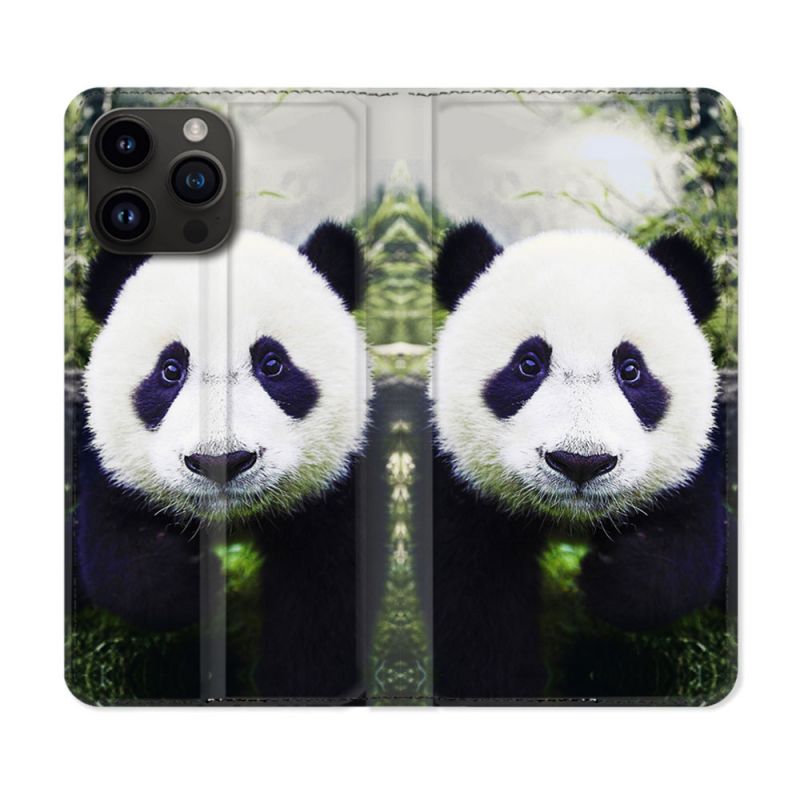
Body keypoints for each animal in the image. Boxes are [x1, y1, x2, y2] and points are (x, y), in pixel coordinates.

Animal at [75, 222, 370, 701]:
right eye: (170, 369)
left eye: (273, 364)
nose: (222, 461)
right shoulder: (112, 470)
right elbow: (120, 558)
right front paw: (195, 580)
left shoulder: (337, 491)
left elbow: (325, 603)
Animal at [430, 223, 726, 701]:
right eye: (528, 364)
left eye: (631, 369)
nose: (580, 463)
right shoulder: (462, 487)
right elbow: (473, 603)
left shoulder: (691, 466)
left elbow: (685, 552)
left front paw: (607, 578)